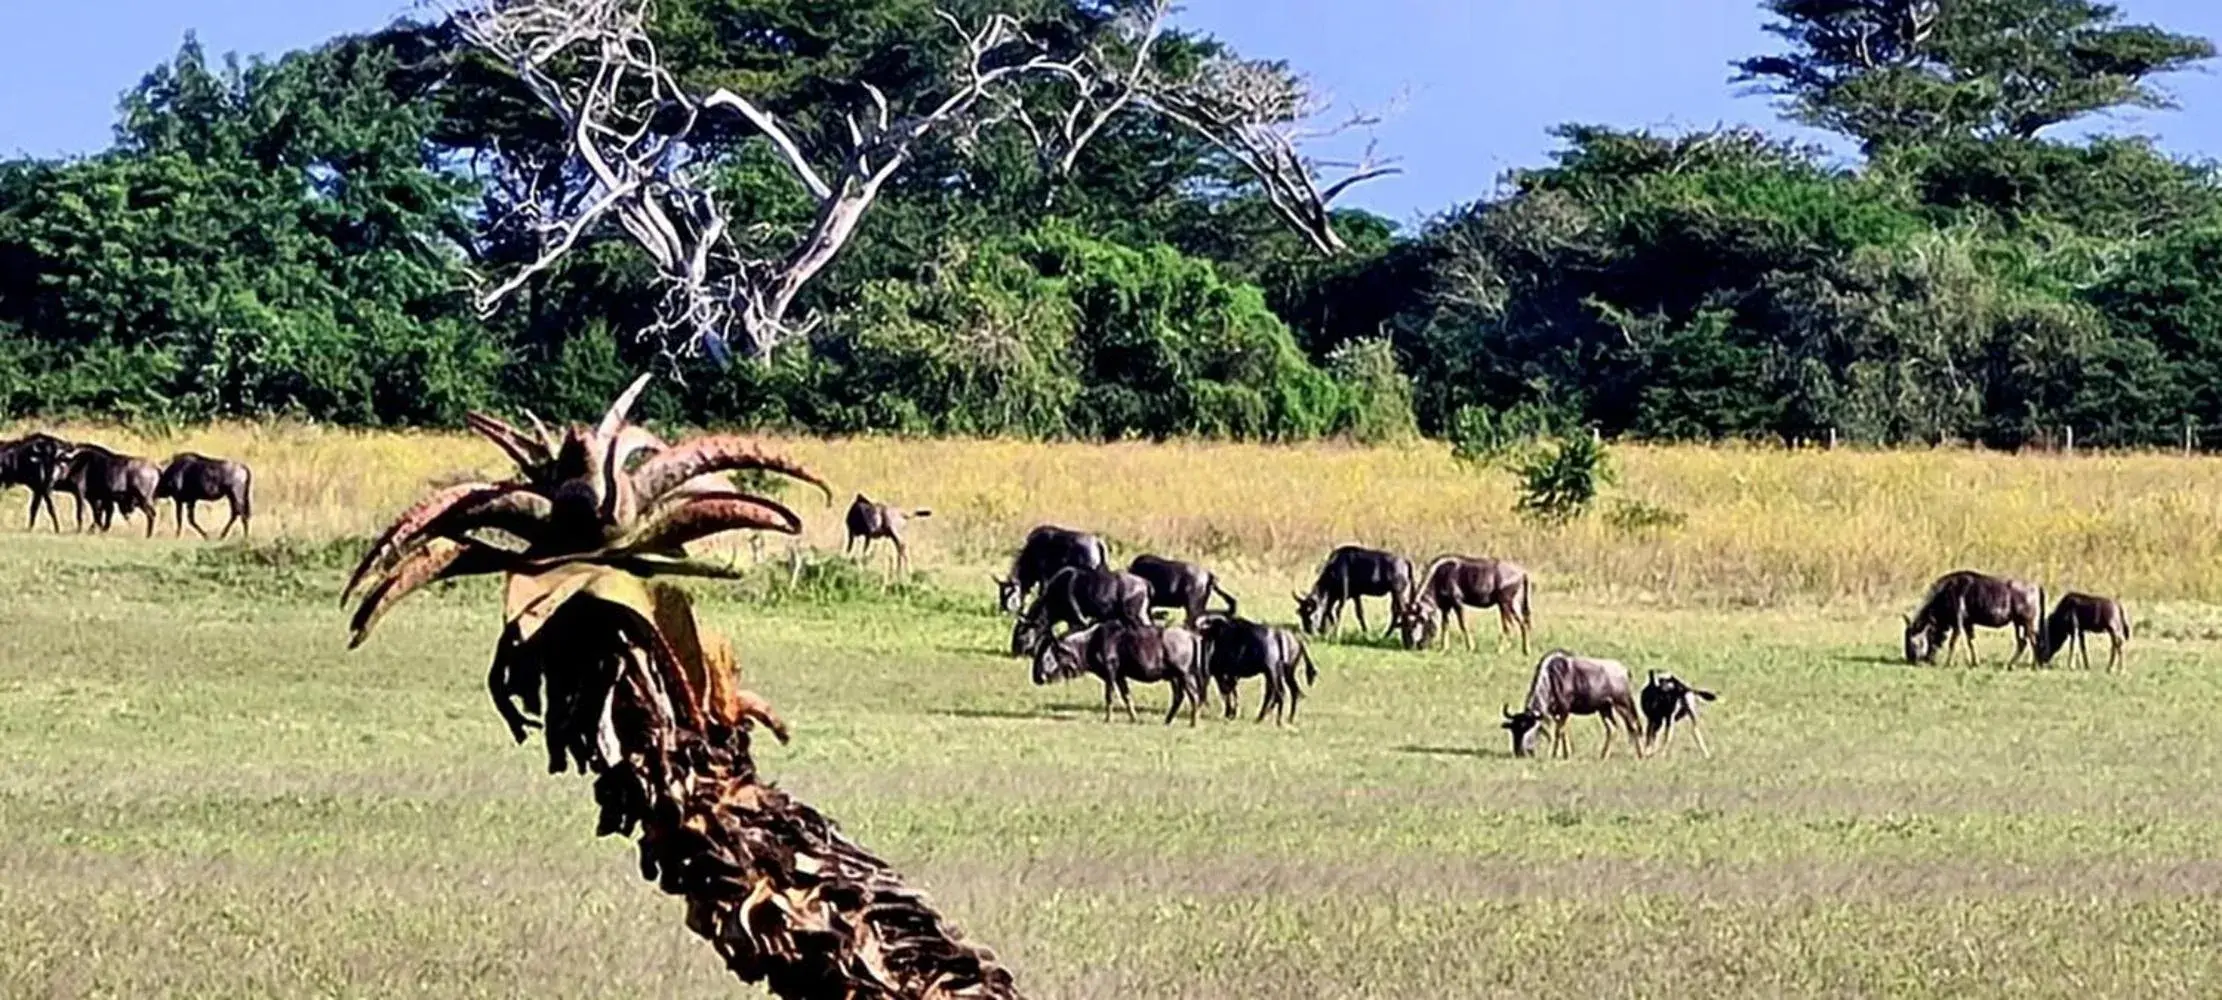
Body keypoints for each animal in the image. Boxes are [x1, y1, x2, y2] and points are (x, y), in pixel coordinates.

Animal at [1031, 622, 1208, 724]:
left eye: (1047, 656)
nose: (1037, 677)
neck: (1090, 642)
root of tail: (1191, 635)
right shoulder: (1120, 675)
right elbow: (1126, 696)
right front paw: (1134, 718)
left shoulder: (1110, 672)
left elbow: (1109, 696)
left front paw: (1108, 719)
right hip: (1174, 677)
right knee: (1179, 697)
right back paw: (1168, 720)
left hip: (1183, 674)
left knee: (1194, 696)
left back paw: (1193, 722)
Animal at [1502, 648, 1644, 760]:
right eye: (1513, 729)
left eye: (1527, 726)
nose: (1519, 752)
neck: (1552, 678)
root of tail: (1625, 671)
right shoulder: (1556, 713)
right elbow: (1562, 730)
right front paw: (1562, 754)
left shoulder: (1564, 709)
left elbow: (1559, 731)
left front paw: (1557, 755)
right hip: (1604, 709)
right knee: (1612, 729)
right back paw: (1603, 756)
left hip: (1622, 704)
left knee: (1633, 726)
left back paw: (1640, 755)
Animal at [1902, 573, 2035, 666]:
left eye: (1912, 642)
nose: (1910, 661)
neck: (1945, 592)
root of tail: (2034, 588)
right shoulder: (1968, 624)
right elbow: (1971, 642)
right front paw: (1975, 663)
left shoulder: (1958, 624)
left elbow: (1952, 643)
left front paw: (1948, 663)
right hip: (2018, 623)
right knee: (2022, 642)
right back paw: (2011, 664)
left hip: (2026, 623)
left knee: (2032, 641)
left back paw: (2033, 665)